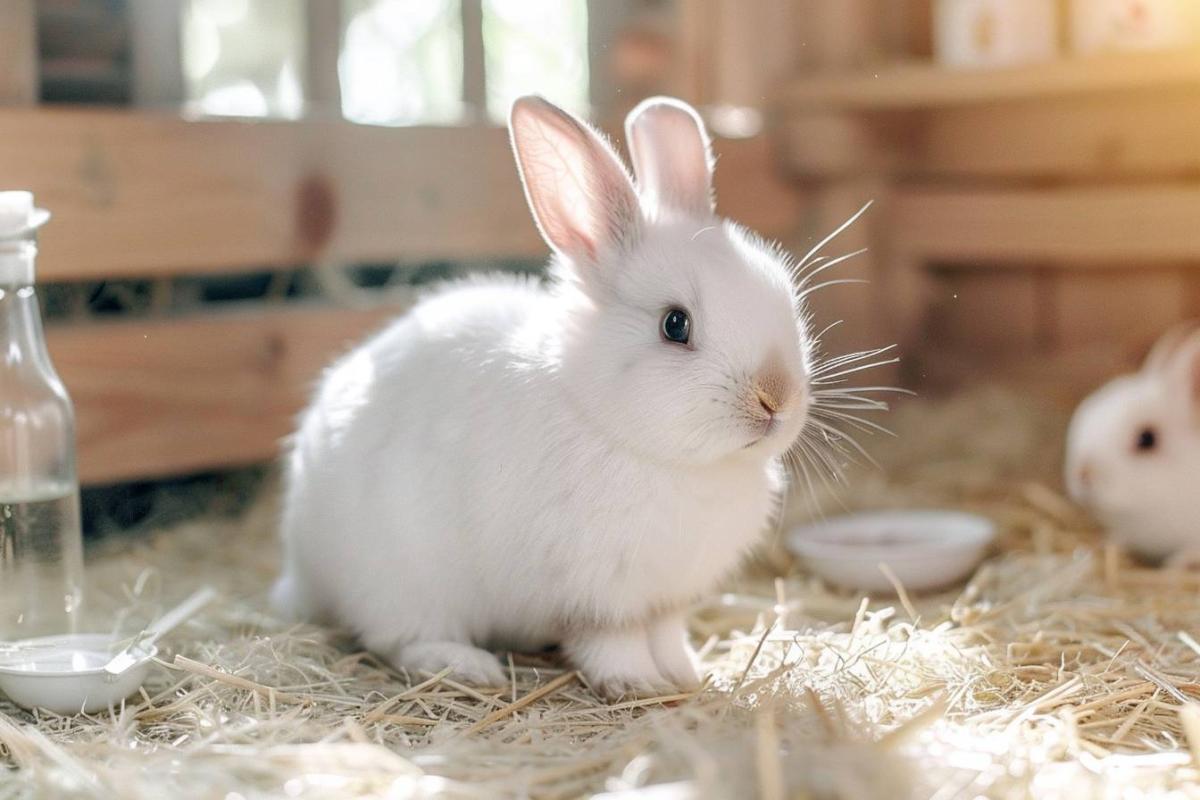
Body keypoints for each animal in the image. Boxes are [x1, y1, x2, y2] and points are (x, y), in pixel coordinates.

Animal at [271, 94, 816, 695]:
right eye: (676, 325)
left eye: (783, 296)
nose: (776, 398)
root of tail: (304, 562)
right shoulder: (599, 597)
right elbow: (613, 643)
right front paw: (636, 685)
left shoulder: (664, 600)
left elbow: (667, 636)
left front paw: (688, 674)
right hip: (404, 581)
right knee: (399, 640)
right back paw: (468, 666)